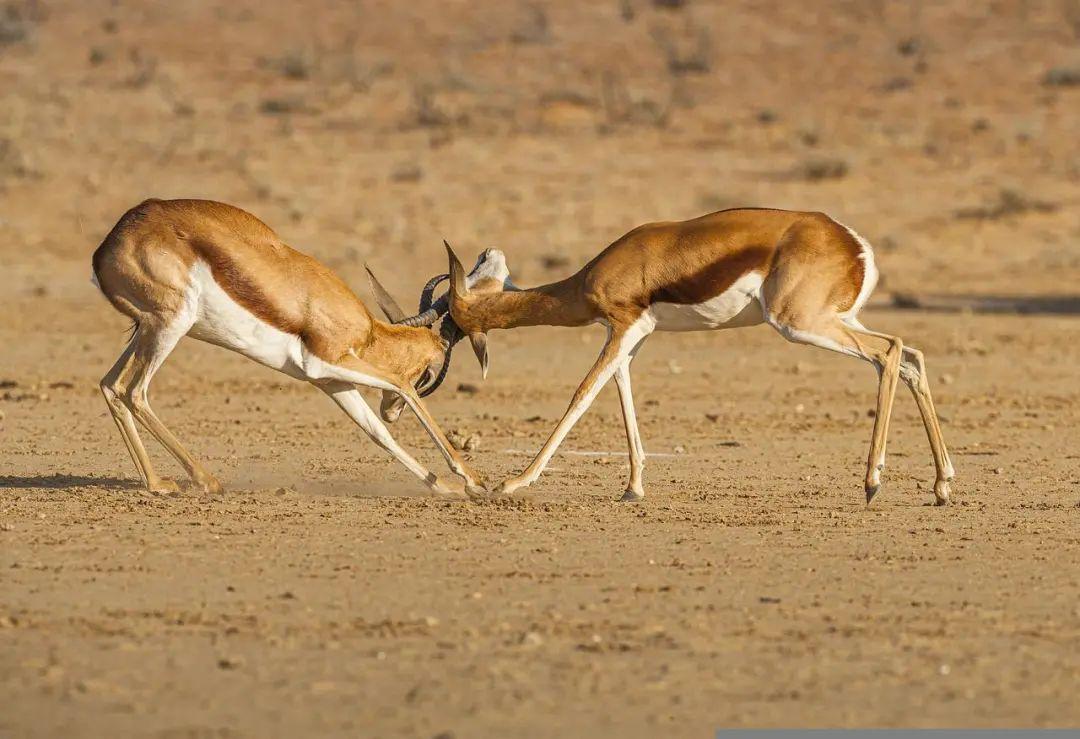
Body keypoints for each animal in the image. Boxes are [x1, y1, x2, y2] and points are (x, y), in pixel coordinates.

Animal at [92, 197, 490, 496]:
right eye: (429, 372)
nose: (390, 411)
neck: (367, 333)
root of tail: (107, 246)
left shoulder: (331, 381)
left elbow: (379, 433)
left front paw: (445, 488)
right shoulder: (326, 362)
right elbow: (401, 386)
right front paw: (473, 482)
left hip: (147, 330)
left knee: (111, 385)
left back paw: (157, 483)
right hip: (170, 325)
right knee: (135, 392)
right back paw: (204, 481)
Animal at [429, 207, 954, 507]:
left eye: (453, 314)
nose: (442, 339)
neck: (589, 279)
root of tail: (853, 244)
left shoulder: (623, 327)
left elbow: (583, 394)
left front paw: (513, 483)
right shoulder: (632, 336)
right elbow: (622, 393)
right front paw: (633, 487)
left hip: (800, 324)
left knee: (889, 352)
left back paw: (873, 482)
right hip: (836, 320)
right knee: (912, 357)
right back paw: (942, 485)